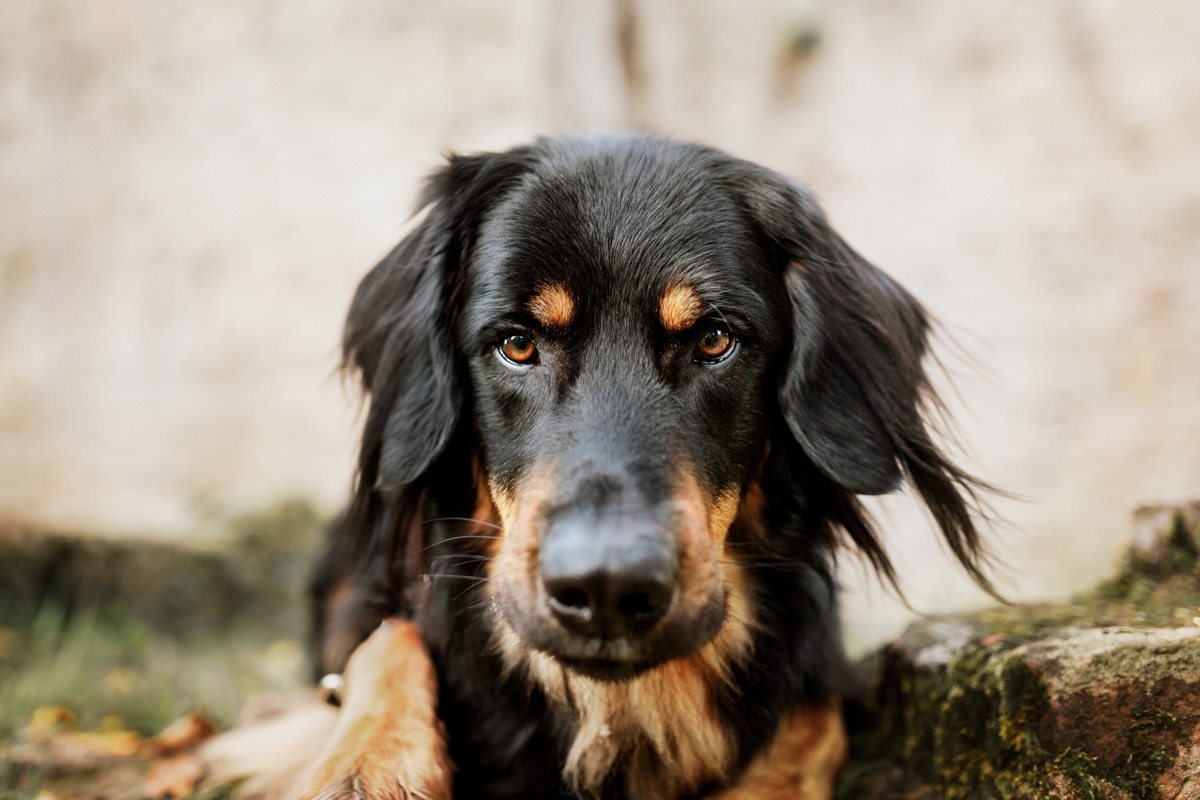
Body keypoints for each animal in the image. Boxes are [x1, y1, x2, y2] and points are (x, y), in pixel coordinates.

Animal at [213, 136, 993, 800]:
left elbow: (810, 718)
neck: (617, 704)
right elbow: (384, 646)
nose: (608, 587)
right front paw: (365, 769)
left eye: (715, 339)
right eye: (517, 345)